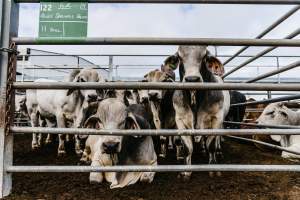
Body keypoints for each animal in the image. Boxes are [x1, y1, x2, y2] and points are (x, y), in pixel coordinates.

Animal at [165, 46, 231, 179]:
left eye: (205, 56)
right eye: (179, 56)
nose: (192, 79)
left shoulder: (216, 118)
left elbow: (211, 145)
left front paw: (213, 167)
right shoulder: (180, 121)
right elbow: (187, 148)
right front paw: (186, 171)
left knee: (217, 139)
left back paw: (218, 151)